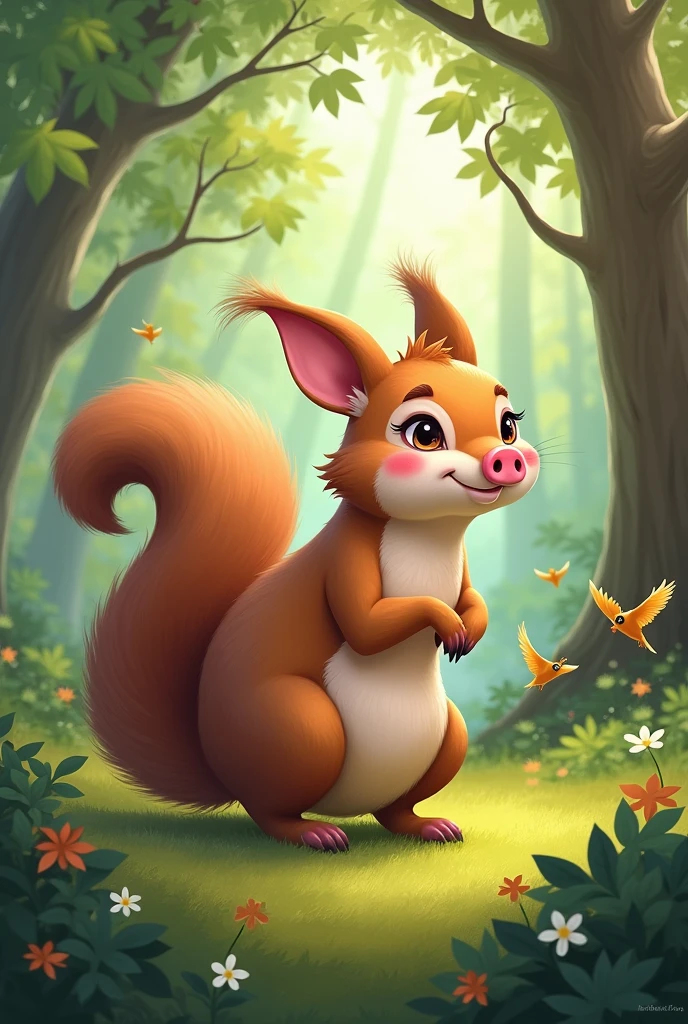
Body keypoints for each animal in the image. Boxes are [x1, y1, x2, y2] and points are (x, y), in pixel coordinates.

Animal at [53, 257, 539, 853]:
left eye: (509, 423)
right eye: (423, 432)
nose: (505, 459)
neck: (430, 534)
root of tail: (220, 766)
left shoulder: (462, 570)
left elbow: (473, 598)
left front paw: (472, 625)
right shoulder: (345, 561)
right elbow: (367, 625)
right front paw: (444, 621)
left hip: (449, 735)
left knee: (394, 810)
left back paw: (427, 825)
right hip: (302, 729)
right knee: (269, 810)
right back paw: (314, 833)